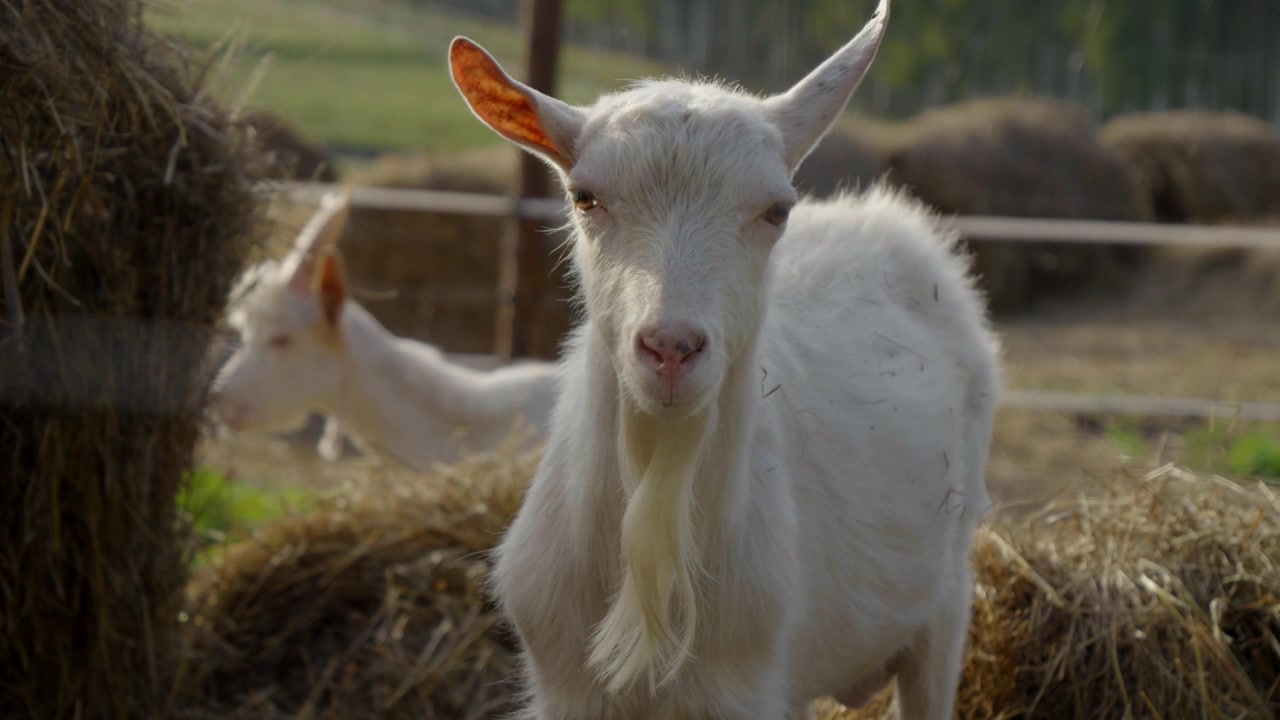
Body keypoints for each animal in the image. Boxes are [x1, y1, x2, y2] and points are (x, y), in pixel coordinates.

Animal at [448, 0, 1002, 718]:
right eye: (584, 197)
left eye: (776, 210)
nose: (671, 347)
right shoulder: (566, 688)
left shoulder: (750, 687)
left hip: (945, 604)